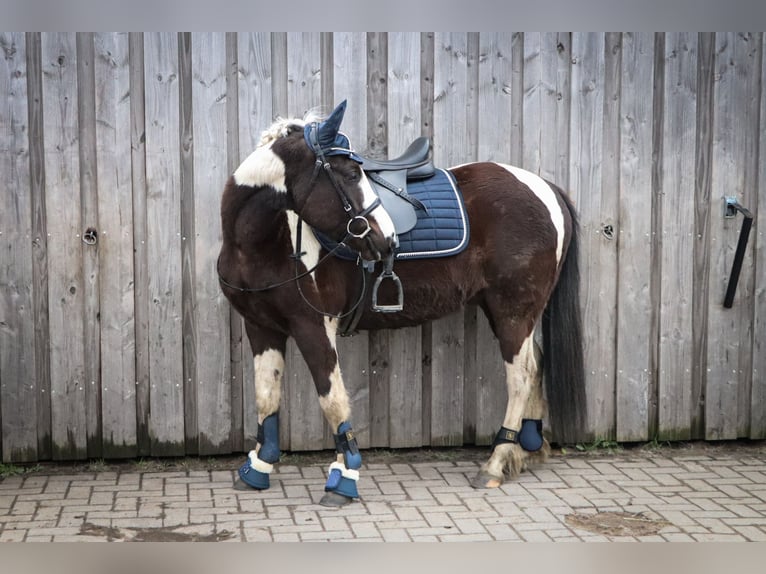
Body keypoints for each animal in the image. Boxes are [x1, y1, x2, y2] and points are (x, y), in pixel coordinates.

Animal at [216, 100, 588, 508]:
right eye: (349, 174)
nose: (388, 239)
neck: (264, 243)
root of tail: (546, 188)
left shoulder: (313, 326)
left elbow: (332, 400)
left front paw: (344, 477)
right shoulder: (261, 326)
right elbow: (266, 397)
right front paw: (258, 468)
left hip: (513, 311)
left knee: (520, 376)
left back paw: (495, 462)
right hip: (512, 311)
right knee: (535, 365)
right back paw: (524, 451)